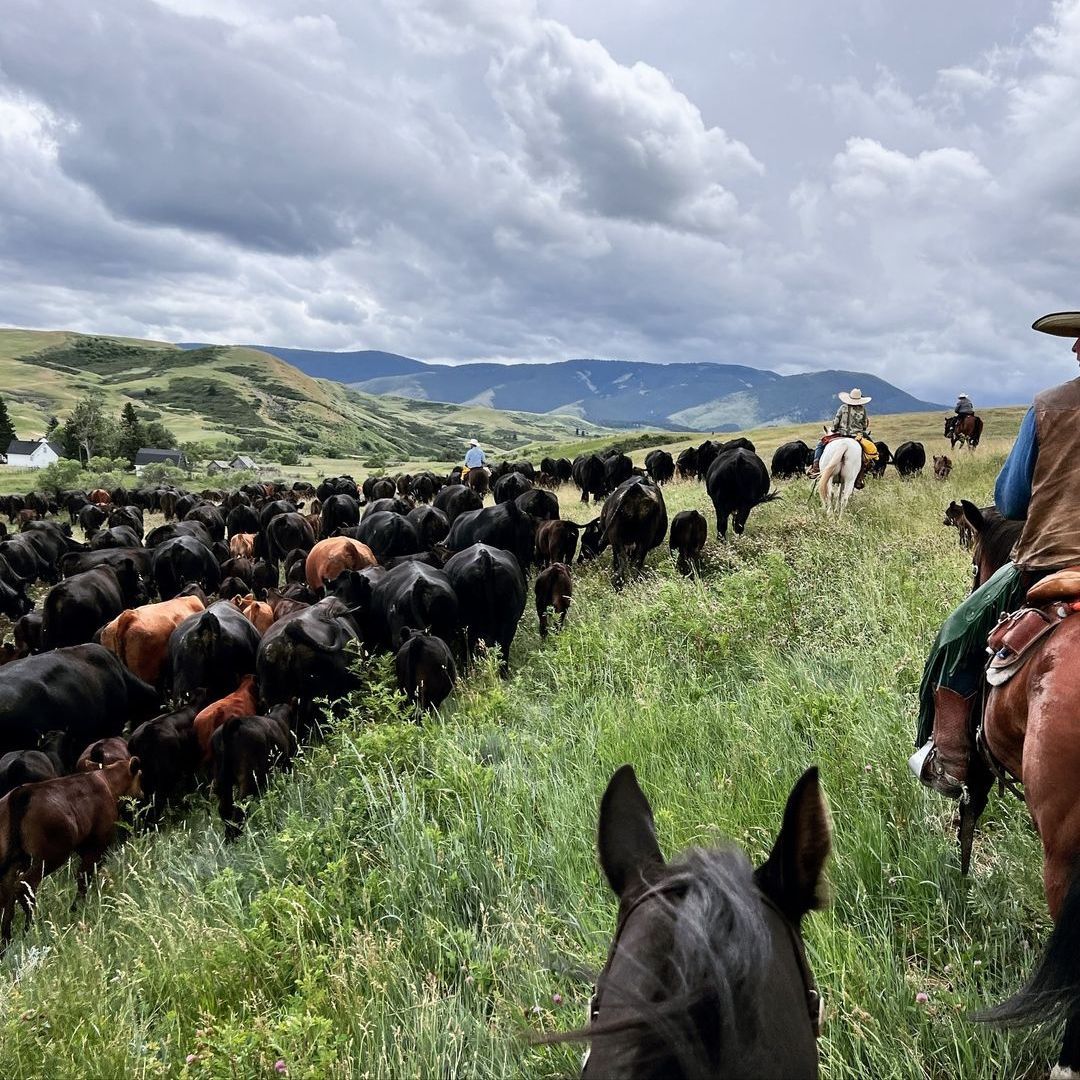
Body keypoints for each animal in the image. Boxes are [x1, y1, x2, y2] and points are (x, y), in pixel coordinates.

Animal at [0, 760, 142, 946]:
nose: (142, 794)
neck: (106, 780)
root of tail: (22, 792)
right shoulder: (97, 846)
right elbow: (83, 876)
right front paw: (76, 908)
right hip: (49, 857)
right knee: (25, 885)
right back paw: (30, 928)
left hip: (15, 861)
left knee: (7, 895)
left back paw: (6, 939)